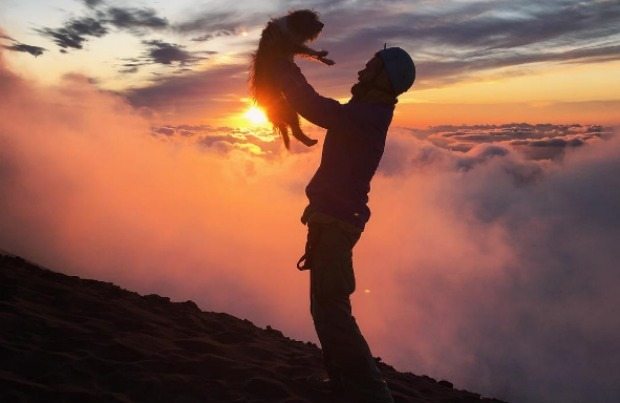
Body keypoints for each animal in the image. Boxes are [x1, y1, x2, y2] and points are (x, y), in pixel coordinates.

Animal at [249, 10, 334, 150]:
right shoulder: (288, 44)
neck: (292, 26)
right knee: (294, 131)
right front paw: (321, 54)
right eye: (311, 19)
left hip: (288, 109)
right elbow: (306, 49)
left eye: (315, 18)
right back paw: (309, 141)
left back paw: (309, 141)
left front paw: (326, 60)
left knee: (293, 129)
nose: (322, 24)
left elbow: (309, 53)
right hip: (286, 109)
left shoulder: (292, 45)